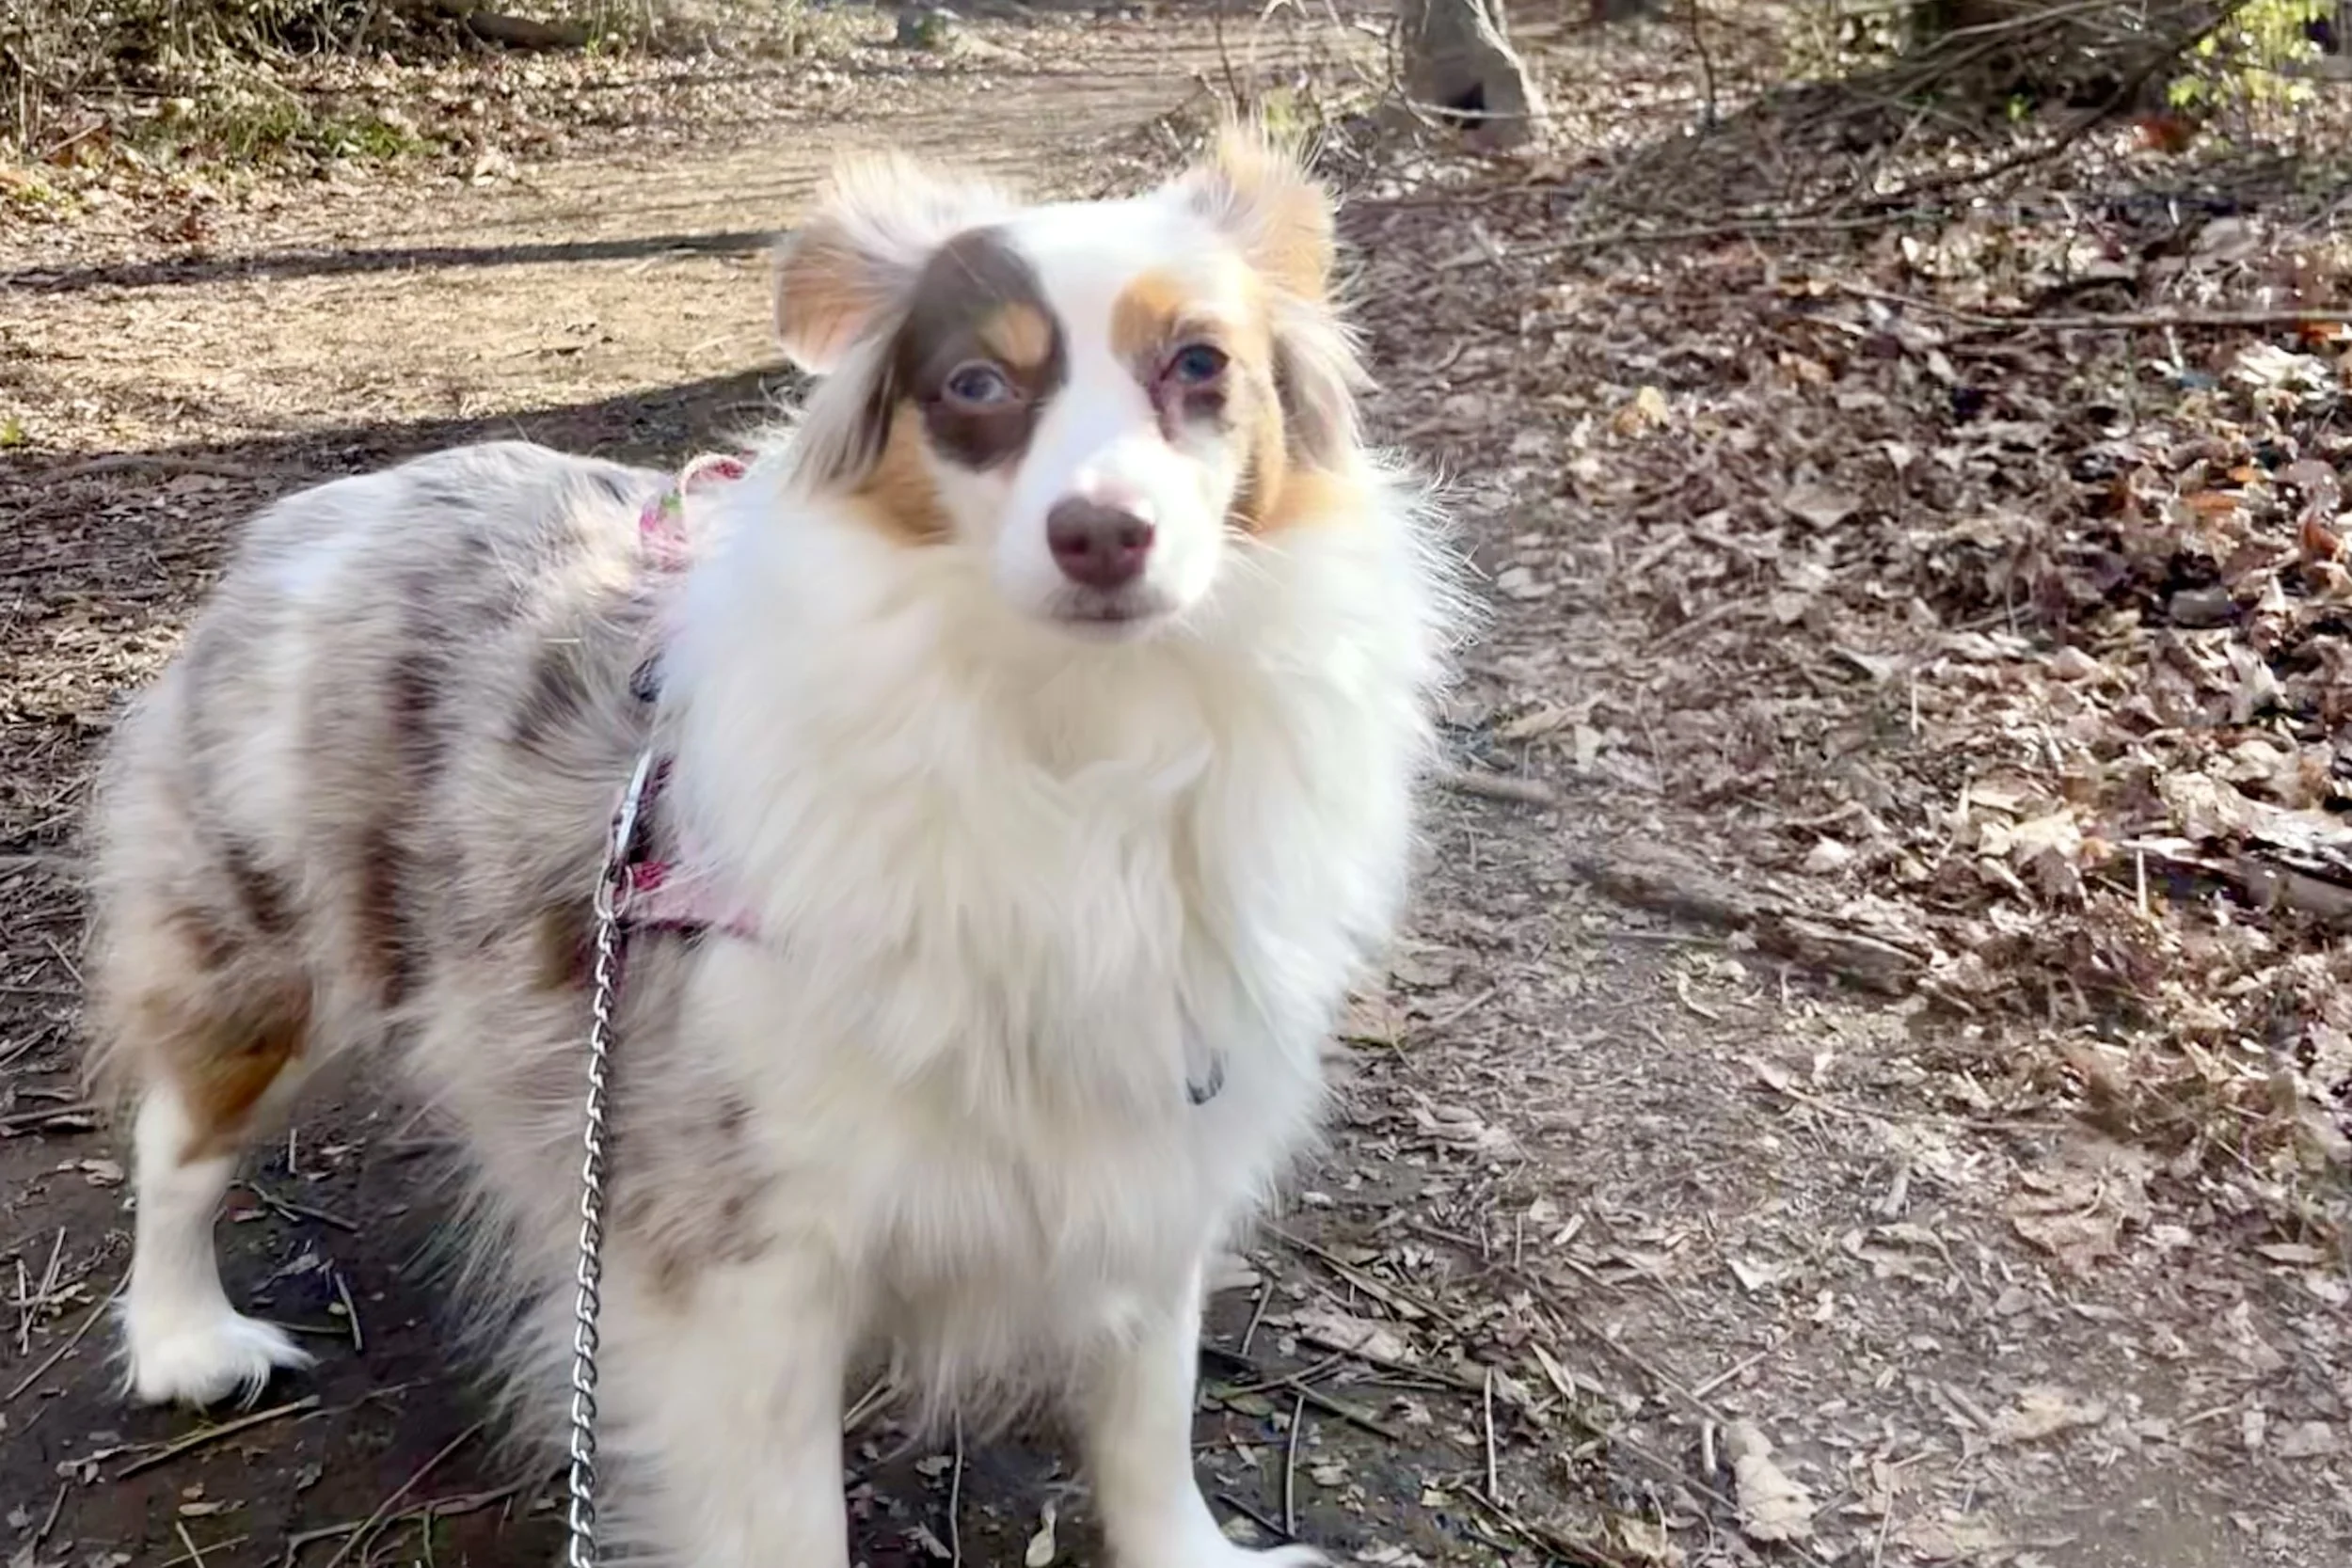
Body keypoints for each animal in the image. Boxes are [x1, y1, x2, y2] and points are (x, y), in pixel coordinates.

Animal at [84, 126, 1468, 1567]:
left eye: (1200, 363)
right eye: (975, 382)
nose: (1102, 532)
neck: (1075, 734)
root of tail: (331, 506)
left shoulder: (1157, 1135)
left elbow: (1150, 1407)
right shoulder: (743, 1261)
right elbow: (790, 1512)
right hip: (265, 942)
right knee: (178, 1137)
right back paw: (186, 1334)